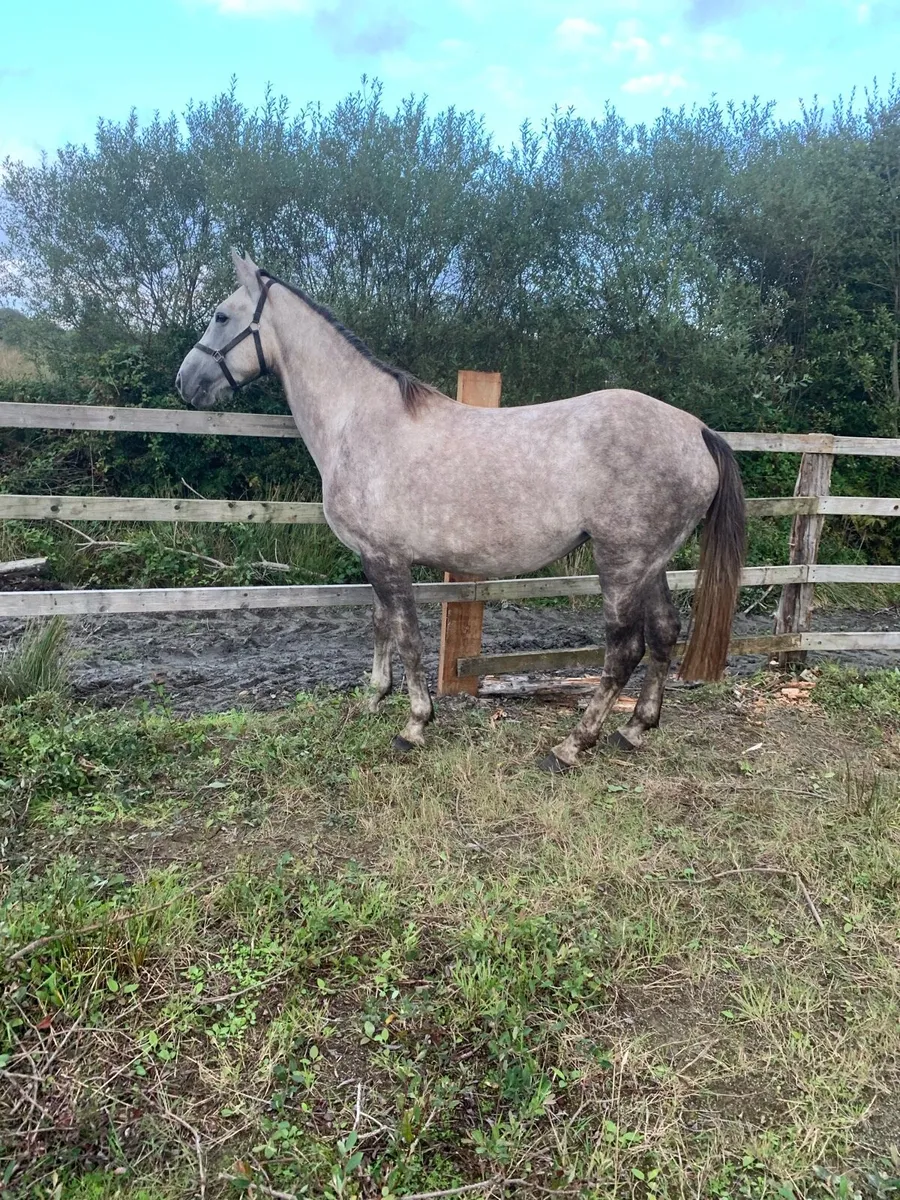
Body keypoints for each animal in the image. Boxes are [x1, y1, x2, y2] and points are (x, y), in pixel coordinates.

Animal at [175, 251, 745, 772]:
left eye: (221, 316)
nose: (185, 382)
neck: (358, 421)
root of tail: (696, 429)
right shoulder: (373, 556)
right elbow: (380, 624)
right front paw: (373, 699)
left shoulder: (387, 559)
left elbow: (407, 635)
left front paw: (414, 724)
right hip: (651, 562)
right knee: (665, 632)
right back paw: (635, 729)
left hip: (621, 563)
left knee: (624, 648)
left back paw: (571, 745)